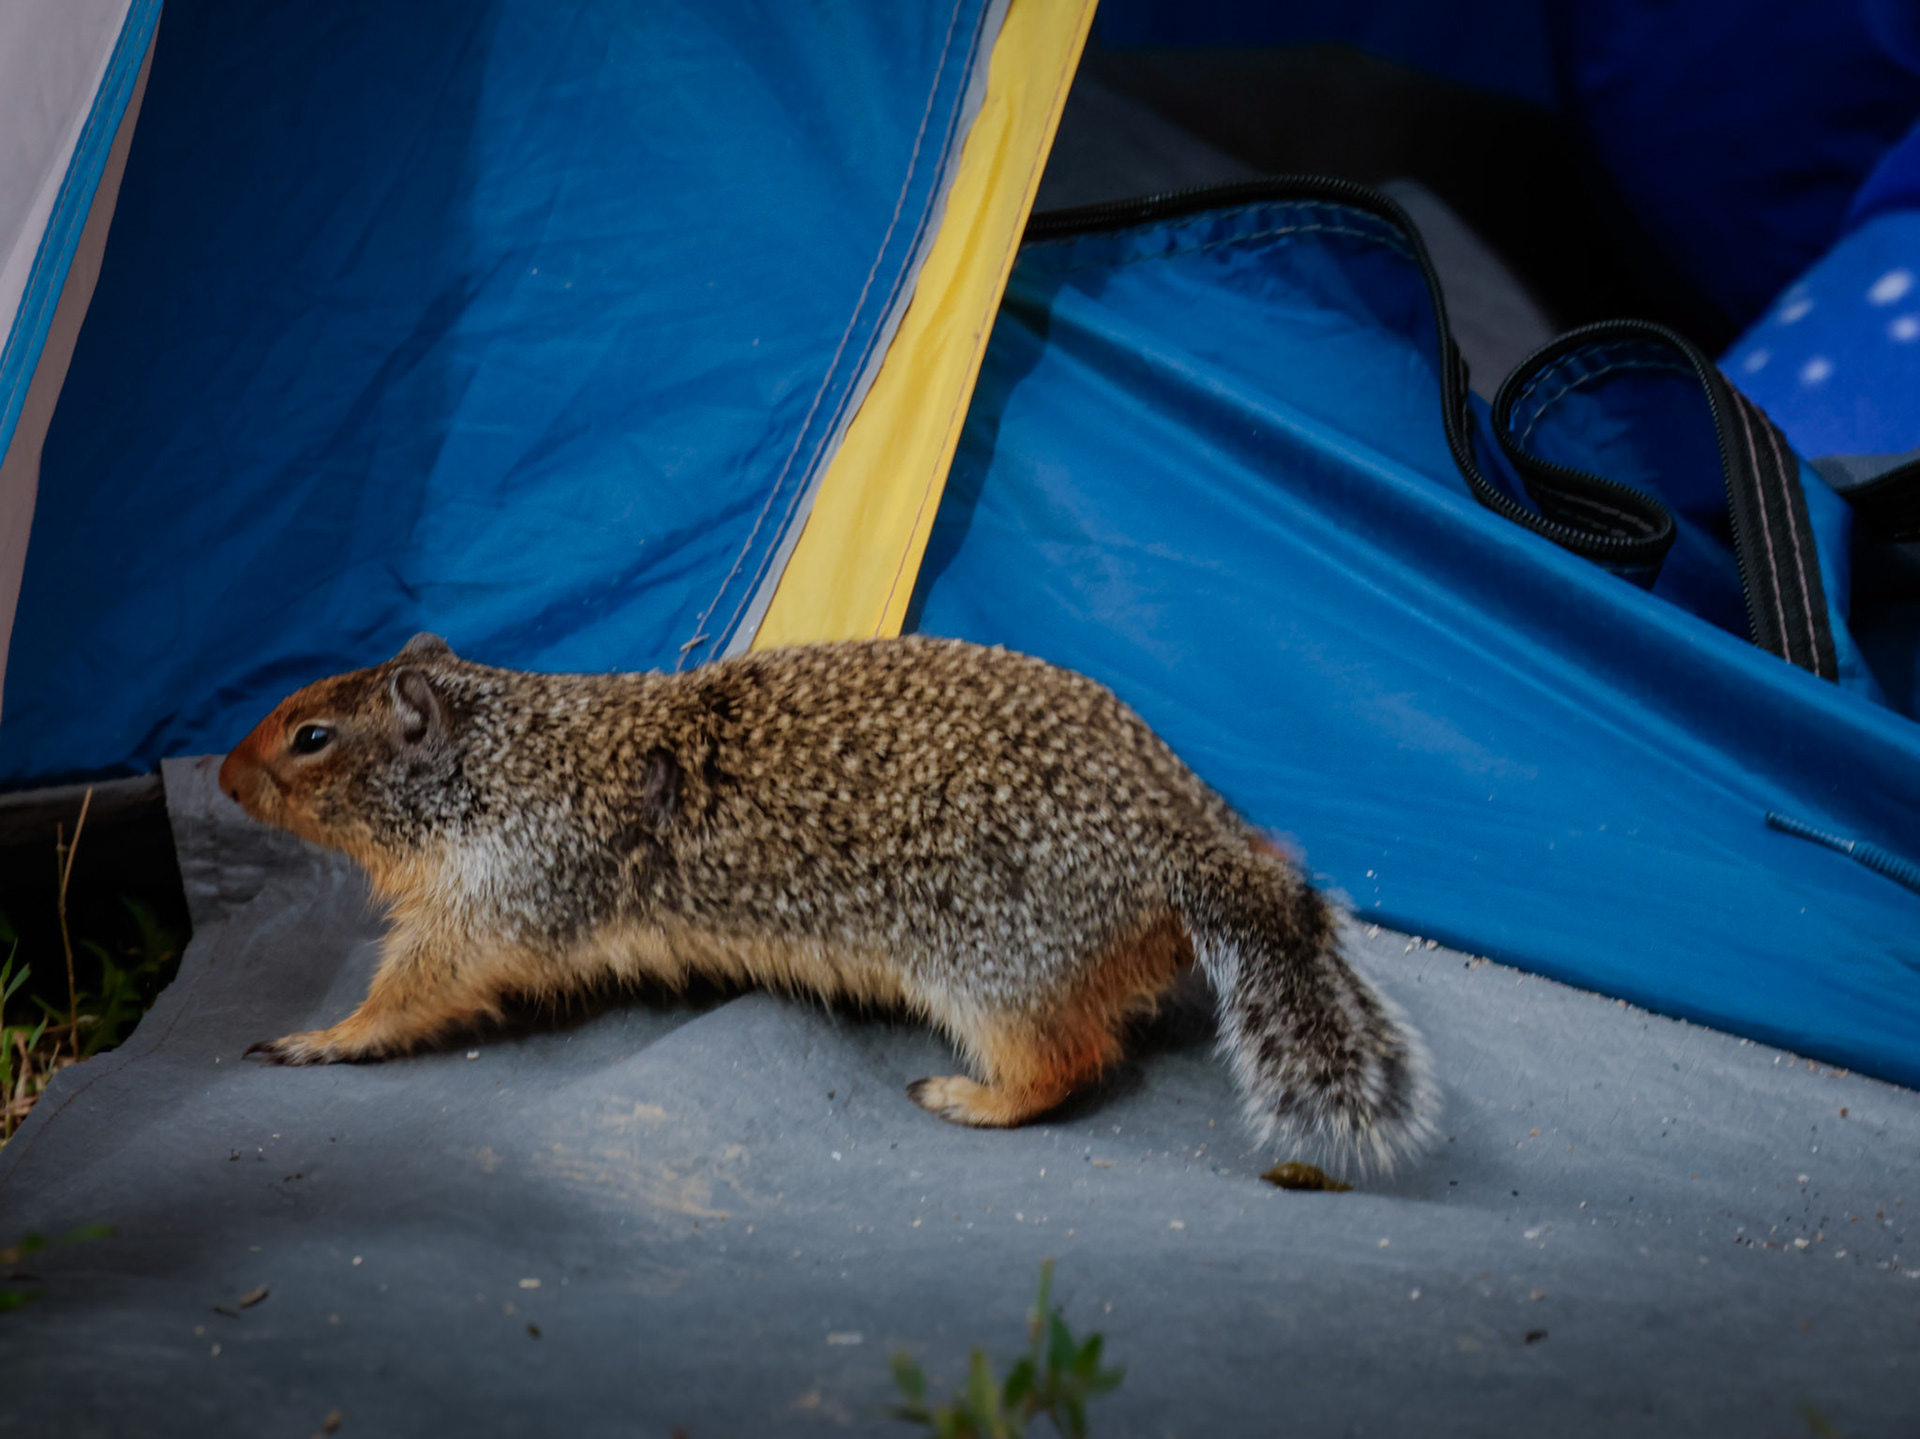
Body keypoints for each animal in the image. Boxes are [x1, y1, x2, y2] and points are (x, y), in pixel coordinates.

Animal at [219, 633, 1437, 1171]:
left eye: (310, 734)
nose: (224, 777)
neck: (510, 753)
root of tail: (1197, 843)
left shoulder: (504, 894)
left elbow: (416, 988)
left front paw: (318, 1037)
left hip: (993, 968)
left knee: (1068, 1059)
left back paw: (967, 1097)